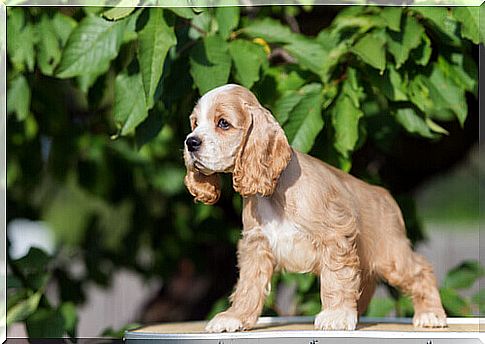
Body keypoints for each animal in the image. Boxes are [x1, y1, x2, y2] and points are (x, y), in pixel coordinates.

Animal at [182, 84, 446, 334]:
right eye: (195, 123)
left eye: (223, 123)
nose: (190, 142)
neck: (275, 193)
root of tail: (384, 194)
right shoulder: (256, 246)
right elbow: (249, 285)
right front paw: (234, 317)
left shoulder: (334, 237)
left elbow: (336, 280)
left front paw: (336, 315)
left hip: (391, 254)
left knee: (421, 270)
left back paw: (431, 314)